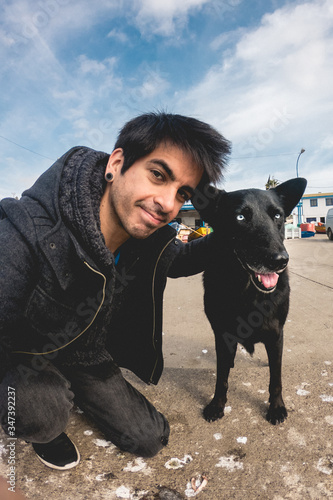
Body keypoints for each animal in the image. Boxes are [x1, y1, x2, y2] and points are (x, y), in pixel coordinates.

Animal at [195, 178, 306, 424]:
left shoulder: (276, 335)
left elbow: (276, 379)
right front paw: (217, 404)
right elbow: (221, 377)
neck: (247, 292)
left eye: (278, 216)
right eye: (240, 217)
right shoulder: (223, 335)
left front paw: (276, 407)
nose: (280, 261)